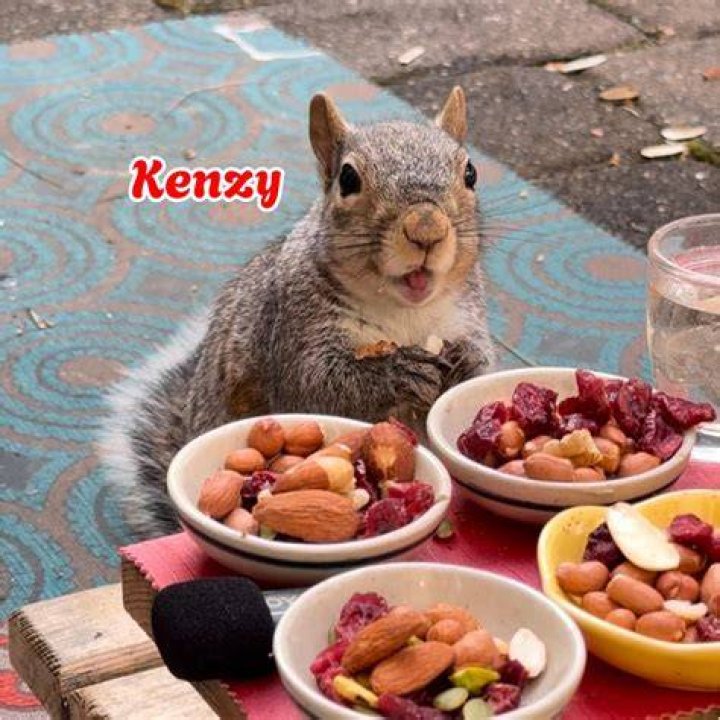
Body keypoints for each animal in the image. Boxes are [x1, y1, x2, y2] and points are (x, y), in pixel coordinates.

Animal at [99, 86, 494, 538]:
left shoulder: (466, 312)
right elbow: (317, 386)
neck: (404, 313)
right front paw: (398, 372)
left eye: (470, 173)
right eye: (348, 179)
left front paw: (467, 362)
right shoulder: (292, 325)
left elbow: (479, 360)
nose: (427, 229)